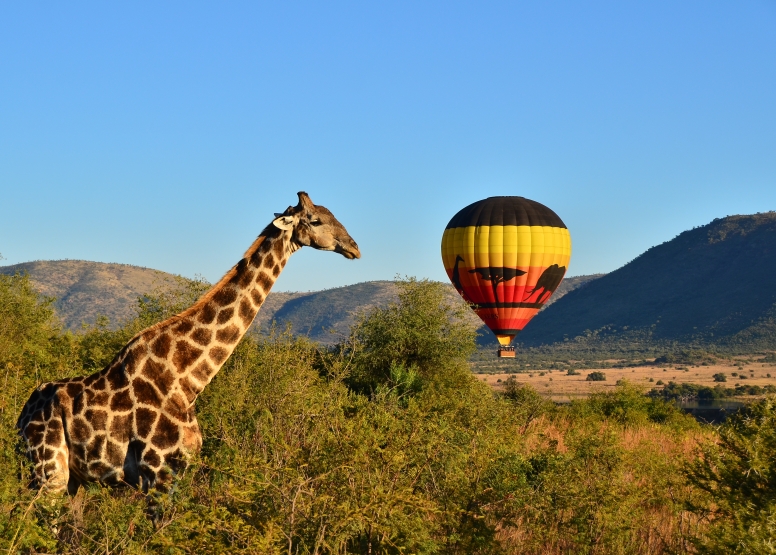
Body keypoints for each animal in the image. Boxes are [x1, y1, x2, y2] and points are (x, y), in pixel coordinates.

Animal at [15, 192, 360, 496]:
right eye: (315, 220)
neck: (188, 378)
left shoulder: (178, 470)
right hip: (47, 471)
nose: (354, 247)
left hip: (73, 480)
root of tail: (21, 416)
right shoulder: (158, 472)